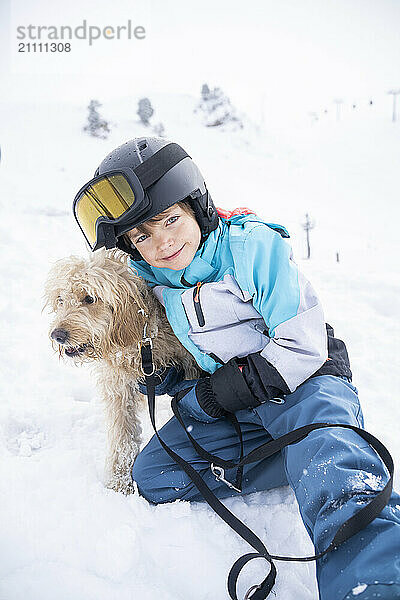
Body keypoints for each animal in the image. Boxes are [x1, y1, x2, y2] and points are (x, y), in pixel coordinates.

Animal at [44, 247, 200, 492]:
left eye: (89, 298)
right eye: (61, 299)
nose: (57, 335)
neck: (142, 338)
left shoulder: (190, 365)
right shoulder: (119, 388)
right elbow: (122, 436)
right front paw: (119, 482)